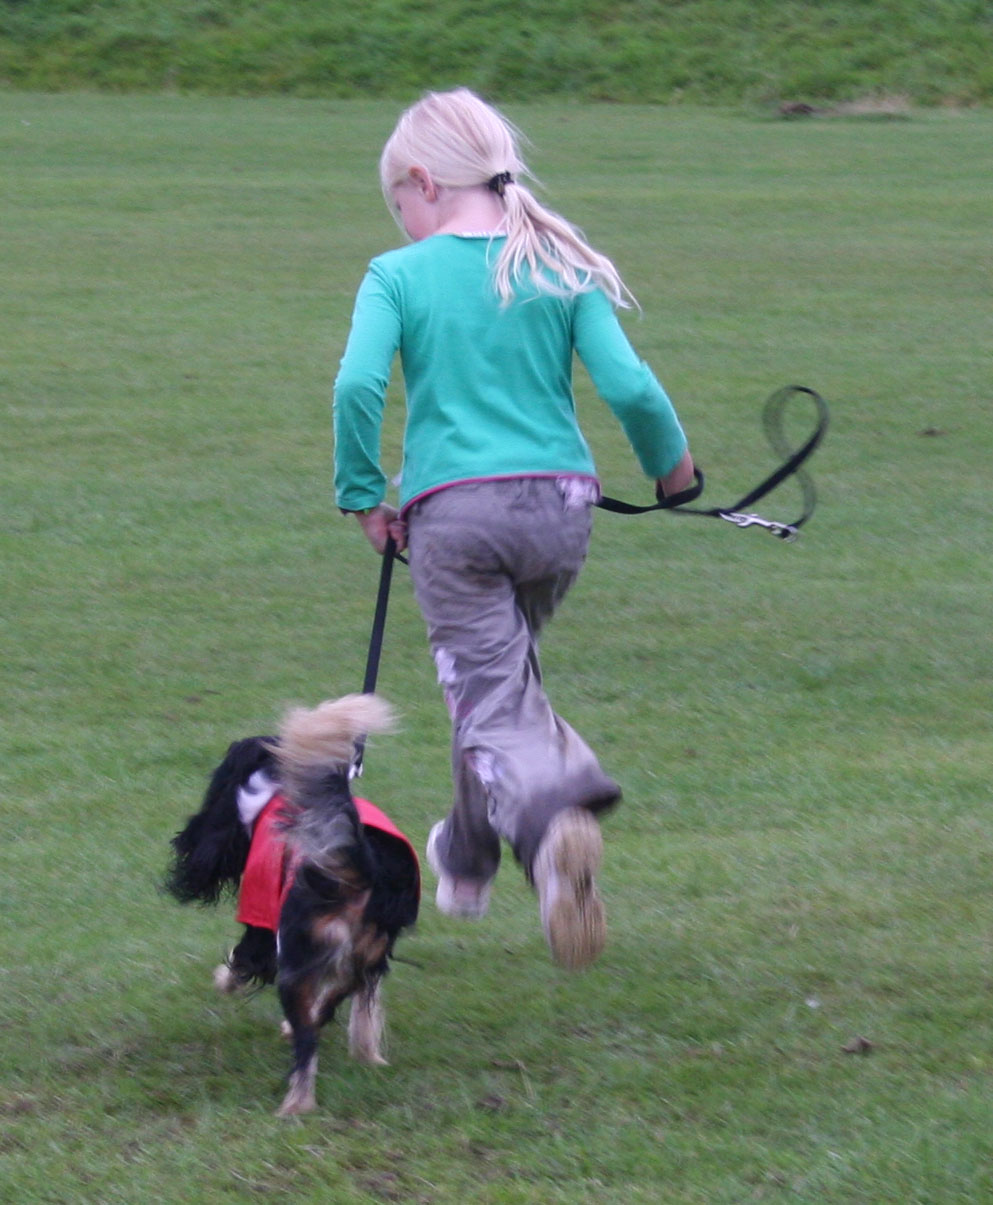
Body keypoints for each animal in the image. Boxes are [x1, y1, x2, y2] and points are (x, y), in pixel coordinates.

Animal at [166, 694, 419, 1113]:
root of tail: (365, 864)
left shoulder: (262, 922)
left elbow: (243, 960)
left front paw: (224, 982)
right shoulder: (369, 961)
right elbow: (361, 1008)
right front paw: (369, 1054)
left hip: (296, 956)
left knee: (307, 1042)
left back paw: (294, 1106)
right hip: (362, 949)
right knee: (330, 1005)